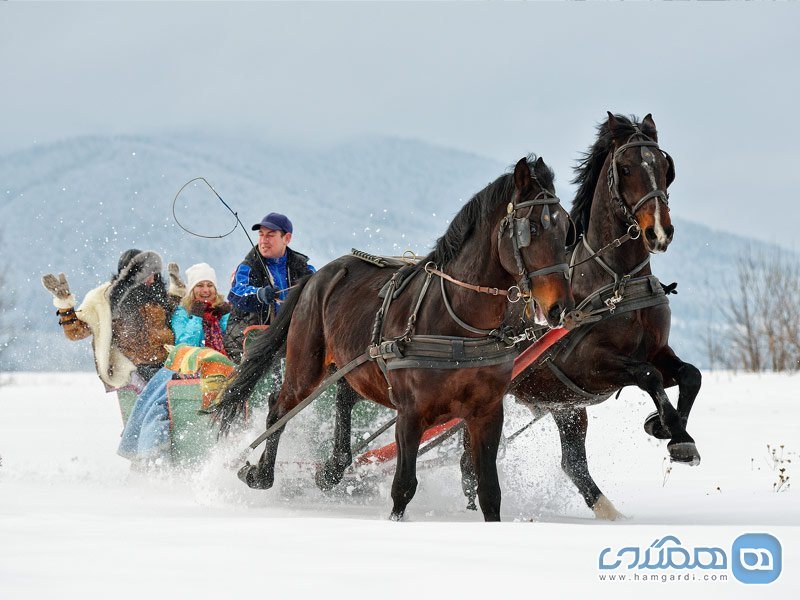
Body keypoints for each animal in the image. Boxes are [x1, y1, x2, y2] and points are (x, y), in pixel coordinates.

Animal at [216, 155, 572, 520]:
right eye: (532, 228)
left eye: (565, 228)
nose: (559, 307)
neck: (459, 325)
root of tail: (317, 276)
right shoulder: (411, 413)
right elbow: (403, 487)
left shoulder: (486, 412)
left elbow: (489, 492)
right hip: (306, 362)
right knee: (280, 407)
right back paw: (260, 473)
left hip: (356, 365)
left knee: (343, 398)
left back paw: (330, 468)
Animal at [476, 115, 700, 516]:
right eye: (625, 168)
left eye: (665, 167)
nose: (659, 232)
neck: (614, 281)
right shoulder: (590, 365)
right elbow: (650, 376)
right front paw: (673, 431)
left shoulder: (657, 350)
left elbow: (690, 375)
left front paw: (668, 429)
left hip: (562, 406)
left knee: (572, 463)